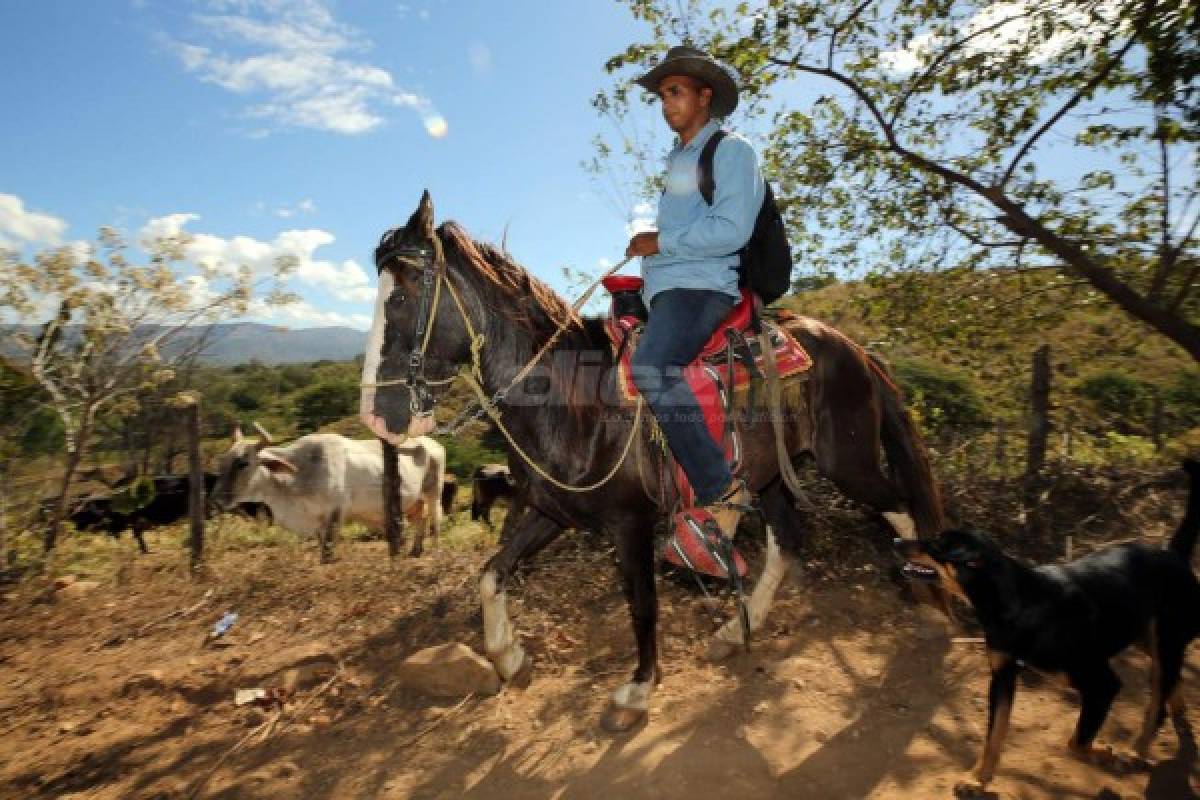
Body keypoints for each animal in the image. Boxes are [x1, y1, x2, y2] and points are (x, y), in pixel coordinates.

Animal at [212, 422, 446, 561]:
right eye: (222, 462)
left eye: (243, 463)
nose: (217, 498)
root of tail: (431, 443)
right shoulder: (317, 522)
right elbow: (321, 546)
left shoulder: (336, 511)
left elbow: (328, 551)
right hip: (412, 501)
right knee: (421, 520)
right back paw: (415, 551)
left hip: (433, 492)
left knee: (435, 522)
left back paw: (435, 552)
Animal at [360, 191, 940, 734]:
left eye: (402, 298)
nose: (375, 415)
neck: (573, 399)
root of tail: (851, 346)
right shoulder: (552, 512)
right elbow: (492, 572)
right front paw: (509, 657)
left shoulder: (630, 521)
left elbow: (642, 604)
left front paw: (637, 690)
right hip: (772, 472)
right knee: (787, 540)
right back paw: (735, 630)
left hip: (849, 461)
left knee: (900, 510)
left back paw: (925, 596)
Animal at [902, 460, 1200, 791]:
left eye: (936, 545)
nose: (897, 541)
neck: (1018, 604)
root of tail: (1174, 554)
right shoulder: (1002, 677)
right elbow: (994, 736)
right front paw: (978, 779)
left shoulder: (1102, 683)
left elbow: (1077, 741)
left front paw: (1102, 753)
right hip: (1145, 637)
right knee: (1169, 681)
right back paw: (1175, 711)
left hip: (1165, 638)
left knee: (1157, 700)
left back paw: (1136, 750)